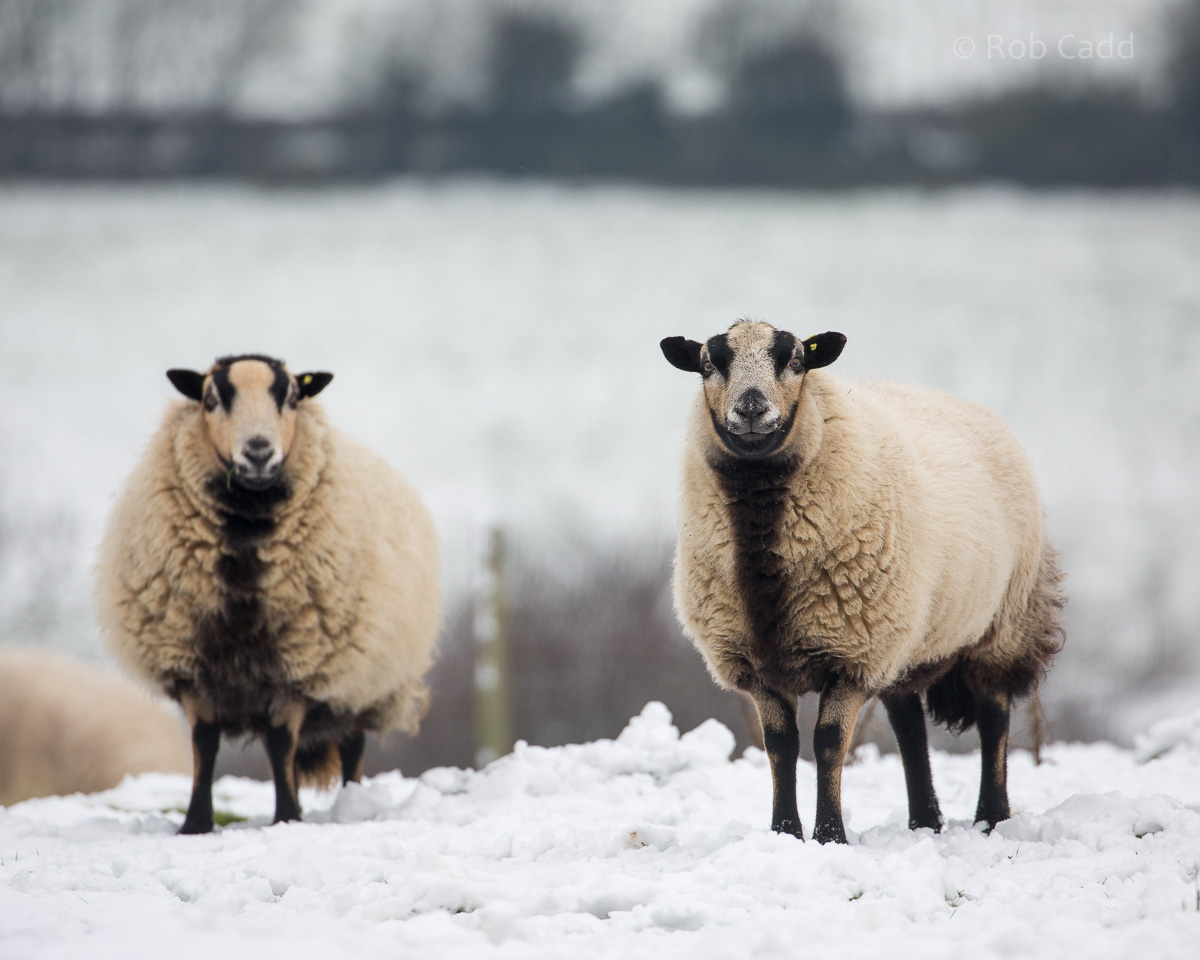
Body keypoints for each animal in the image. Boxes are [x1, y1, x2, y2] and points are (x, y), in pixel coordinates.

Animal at [95, 354, 441, 834]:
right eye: (210, 399)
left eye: (292, 396)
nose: (258, 452)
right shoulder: (193, 670)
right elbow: (205, 745)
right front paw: (195, 823)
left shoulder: (300, 665)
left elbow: (279, 743)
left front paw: (287, 817)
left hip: (360, 679)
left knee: (351, 744)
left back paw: (352, 805)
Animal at [660, 321, 1065, 844]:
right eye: (709, 364)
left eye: (796, 361)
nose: (751, 409)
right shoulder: (756, 662)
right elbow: (781, 745)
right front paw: (784, 832)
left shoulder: (852, 655)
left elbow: (829, 742)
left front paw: (830, 835)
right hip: (907, 637)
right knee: (908, 724)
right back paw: (924, 820)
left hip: (1002, 625)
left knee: (994, 715)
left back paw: (991, 817)